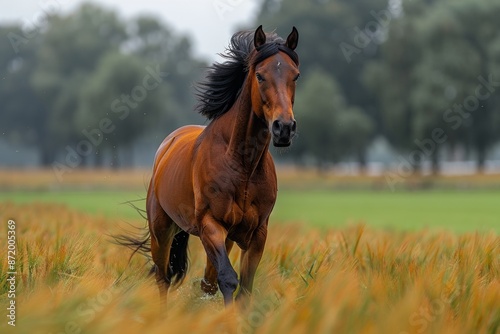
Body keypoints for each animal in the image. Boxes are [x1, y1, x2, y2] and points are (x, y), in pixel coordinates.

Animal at [120, 25, 300, 308]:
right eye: (260, 75)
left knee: (205, 280)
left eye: (296, 75)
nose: (284, 128)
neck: (243, 165)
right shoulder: (210, 224)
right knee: (163, 277)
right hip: (161, 229)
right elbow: (228, 278)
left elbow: (244, 286)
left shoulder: (257, 233)